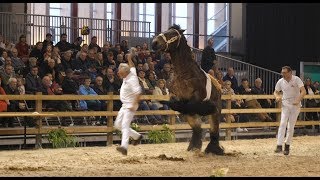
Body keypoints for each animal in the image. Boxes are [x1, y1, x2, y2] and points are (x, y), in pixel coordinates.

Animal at [151, 24, 224, 155]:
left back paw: (214, 148)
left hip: (216, 113)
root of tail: (219, 87)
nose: (155, 42)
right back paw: (195, 147)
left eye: (173, 34)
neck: (185, 74)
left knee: (213, 129)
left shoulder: (196, 97)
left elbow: (190, 106)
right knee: (198, 128)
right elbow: (179, 106)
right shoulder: (175, 96)